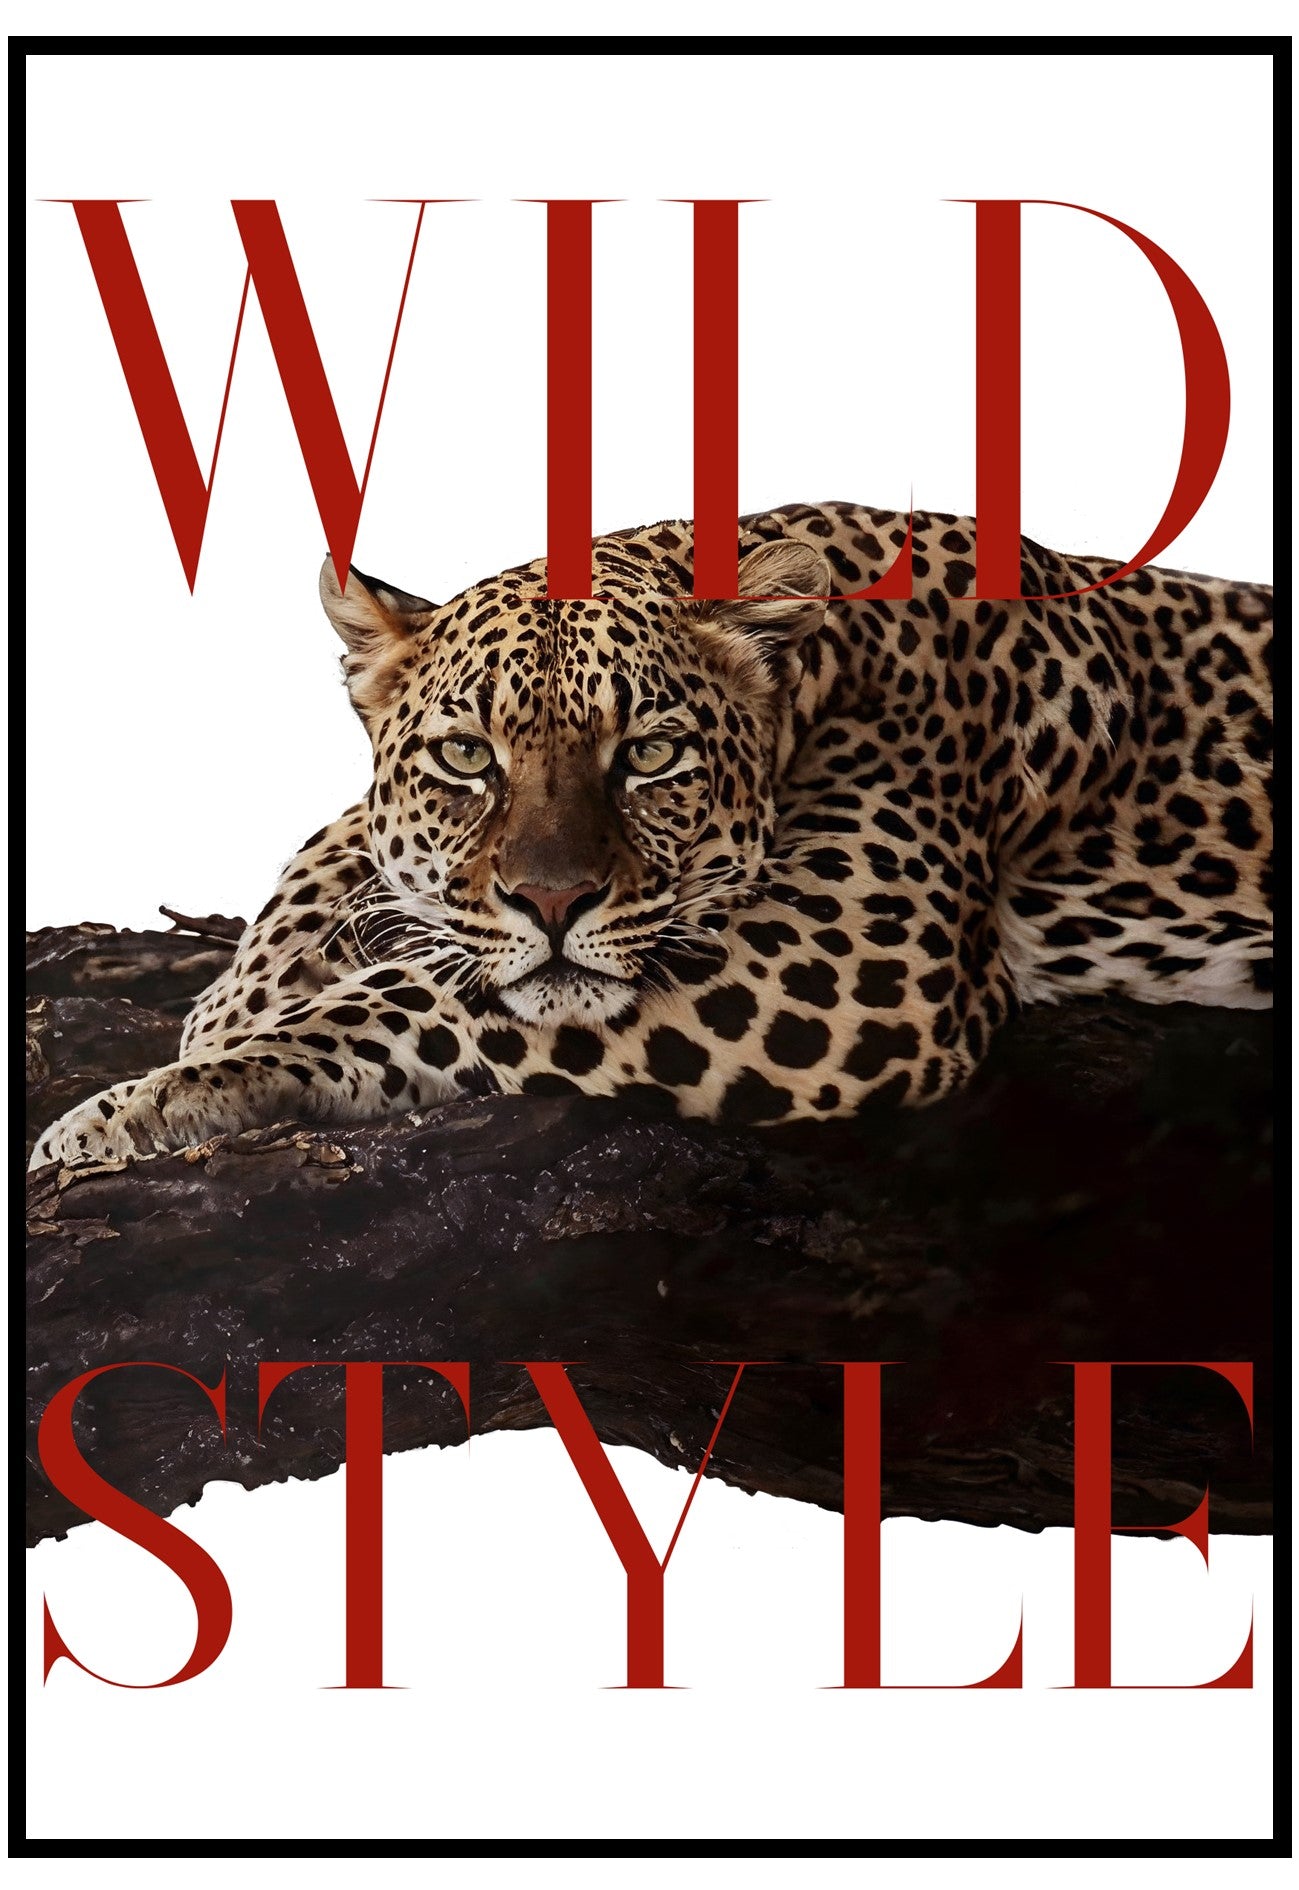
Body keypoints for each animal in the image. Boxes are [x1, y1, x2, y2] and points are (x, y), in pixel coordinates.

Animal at [31, 503, 1273, 1171]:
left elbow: (418, 1001)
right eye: (467, 757)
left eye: (652, 754)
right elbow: (345, 843)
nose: (552, 902)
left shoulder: (851, 960)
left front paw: (143, 1108)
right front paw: (236, 997)